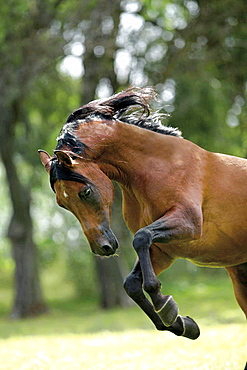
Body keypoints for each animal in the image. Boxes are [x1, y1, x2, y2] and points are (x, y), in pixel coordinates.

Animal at [39, 86, 247, 338]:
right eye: (62, 203)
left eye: (85, 192)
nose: (102, 247)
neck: (160, 165)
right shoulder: (163, 251)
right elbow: (131, 283)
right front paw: (181, 323)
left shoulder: (188, 223)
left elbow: (141, 238)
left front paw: (165, 305)